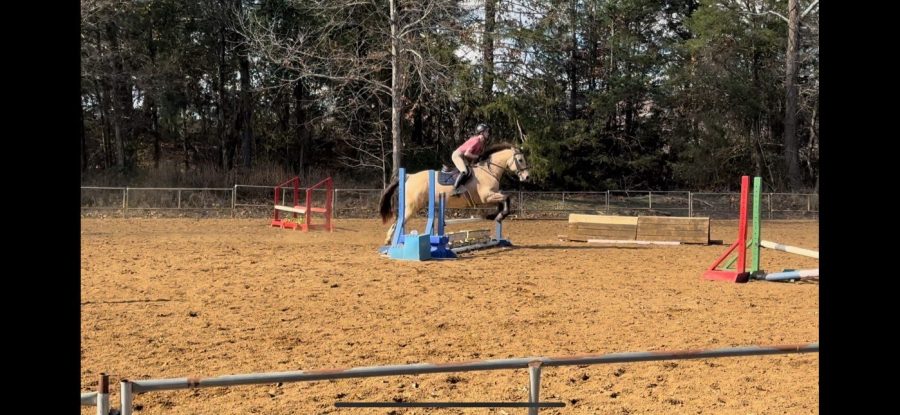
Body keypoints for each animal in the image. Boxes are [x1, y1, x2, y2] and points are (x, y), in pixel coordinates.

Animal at [378, 144, 532, 247]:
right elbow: (506, 198)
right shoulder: (486, 197)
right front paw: (500, 216)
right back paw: (389, 241)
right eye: (520, 160)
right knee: (399, 221)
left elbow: (503, 200)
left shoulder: (491, 196)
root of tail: (409, 176)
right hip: (412, 206)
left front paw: (494, 216)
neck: (489, 171)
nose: (527, 177)